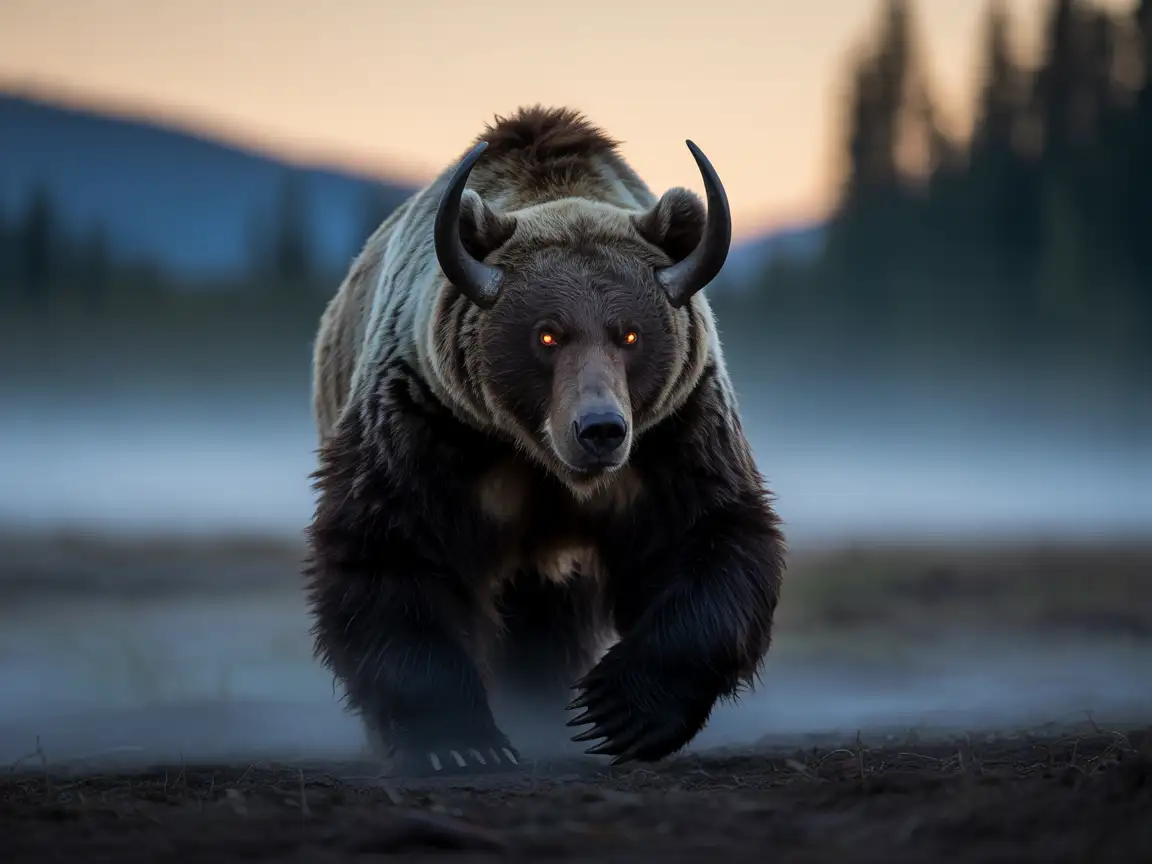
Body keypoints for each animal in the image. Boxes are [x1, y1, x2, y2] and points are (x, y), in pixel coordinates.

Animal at [305, 105, 785, 775]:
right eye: (547, 334)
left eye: (630, 335)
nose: (600, 429)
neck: (539, 458)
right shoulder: (427, 424)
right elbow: (389, 552)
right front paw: (459, 741)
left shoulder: (674, 434)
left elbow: (709, 540)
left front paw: (616, 712)